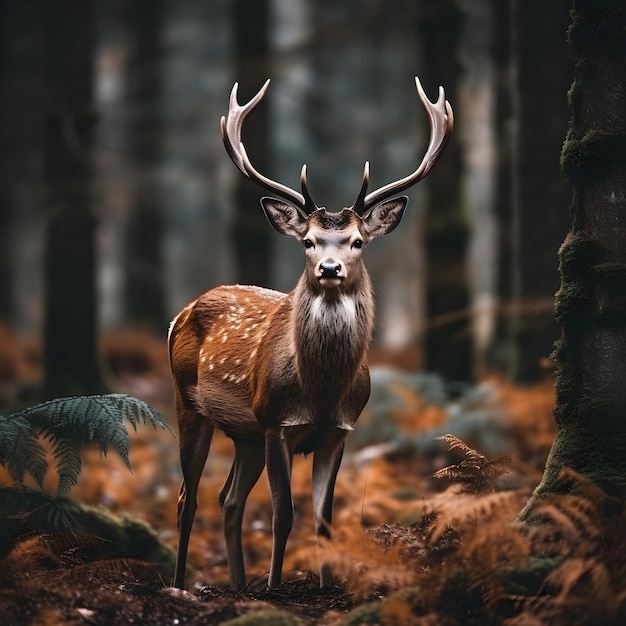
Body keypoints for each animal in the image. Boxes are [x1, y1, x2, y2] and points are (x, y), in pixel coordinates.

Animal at [169, 75, 454, 588]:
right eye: (307, 241)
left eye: (357, 241)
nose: (329, 268)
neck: (320, 390)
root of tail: (180, 313)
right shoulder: (276, 422)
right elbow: (284, 513)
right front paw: (274, 587)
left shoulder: (338, 431)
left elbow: (323, 518)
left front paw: (325, 583)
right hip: (190, 404)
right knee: (188, 498)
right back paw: (182, 583)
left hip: (244, 435)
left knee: (228, 500)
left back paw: (237, 584)